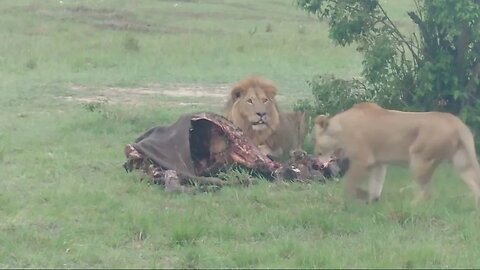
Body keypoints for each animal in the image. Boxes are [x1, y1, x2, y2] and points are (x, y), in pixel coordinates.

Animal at [316, 102, 480, 208]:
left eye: (316, 142)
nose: (316, 159)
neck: (339, 129)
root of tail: (457, 122)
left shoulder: (363, 160)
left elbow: (349, 184)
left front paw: (346, 202)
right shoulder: (378, 164)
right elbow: (376, 184)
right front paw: (372, 202)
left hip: (420, 158)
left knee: (428, 192)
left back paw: (410, 206)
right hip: (462, 162)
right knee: (474, 185)